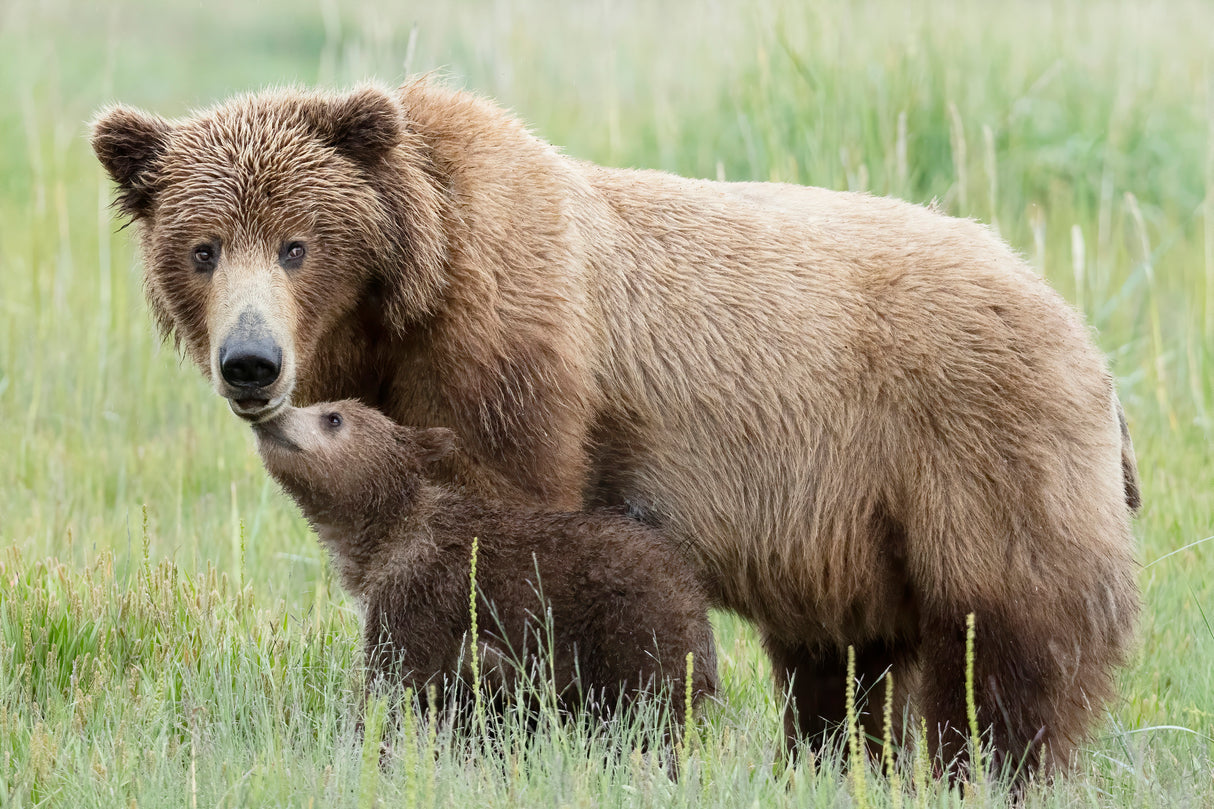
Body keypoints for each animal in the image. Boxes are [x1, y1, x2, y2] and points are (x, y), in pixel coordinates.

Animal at [92, 80, 1136, 777]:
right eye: (202, 248)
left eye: (297, 244)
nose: (251, 362)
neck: (412, 297)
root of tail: (1083, 335)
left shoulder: (516, 355)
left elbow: (508, 529)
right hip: (847, 531)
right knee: (840, 660)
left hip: (968, 446)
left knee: (1005, 636)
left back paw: (988, 765)